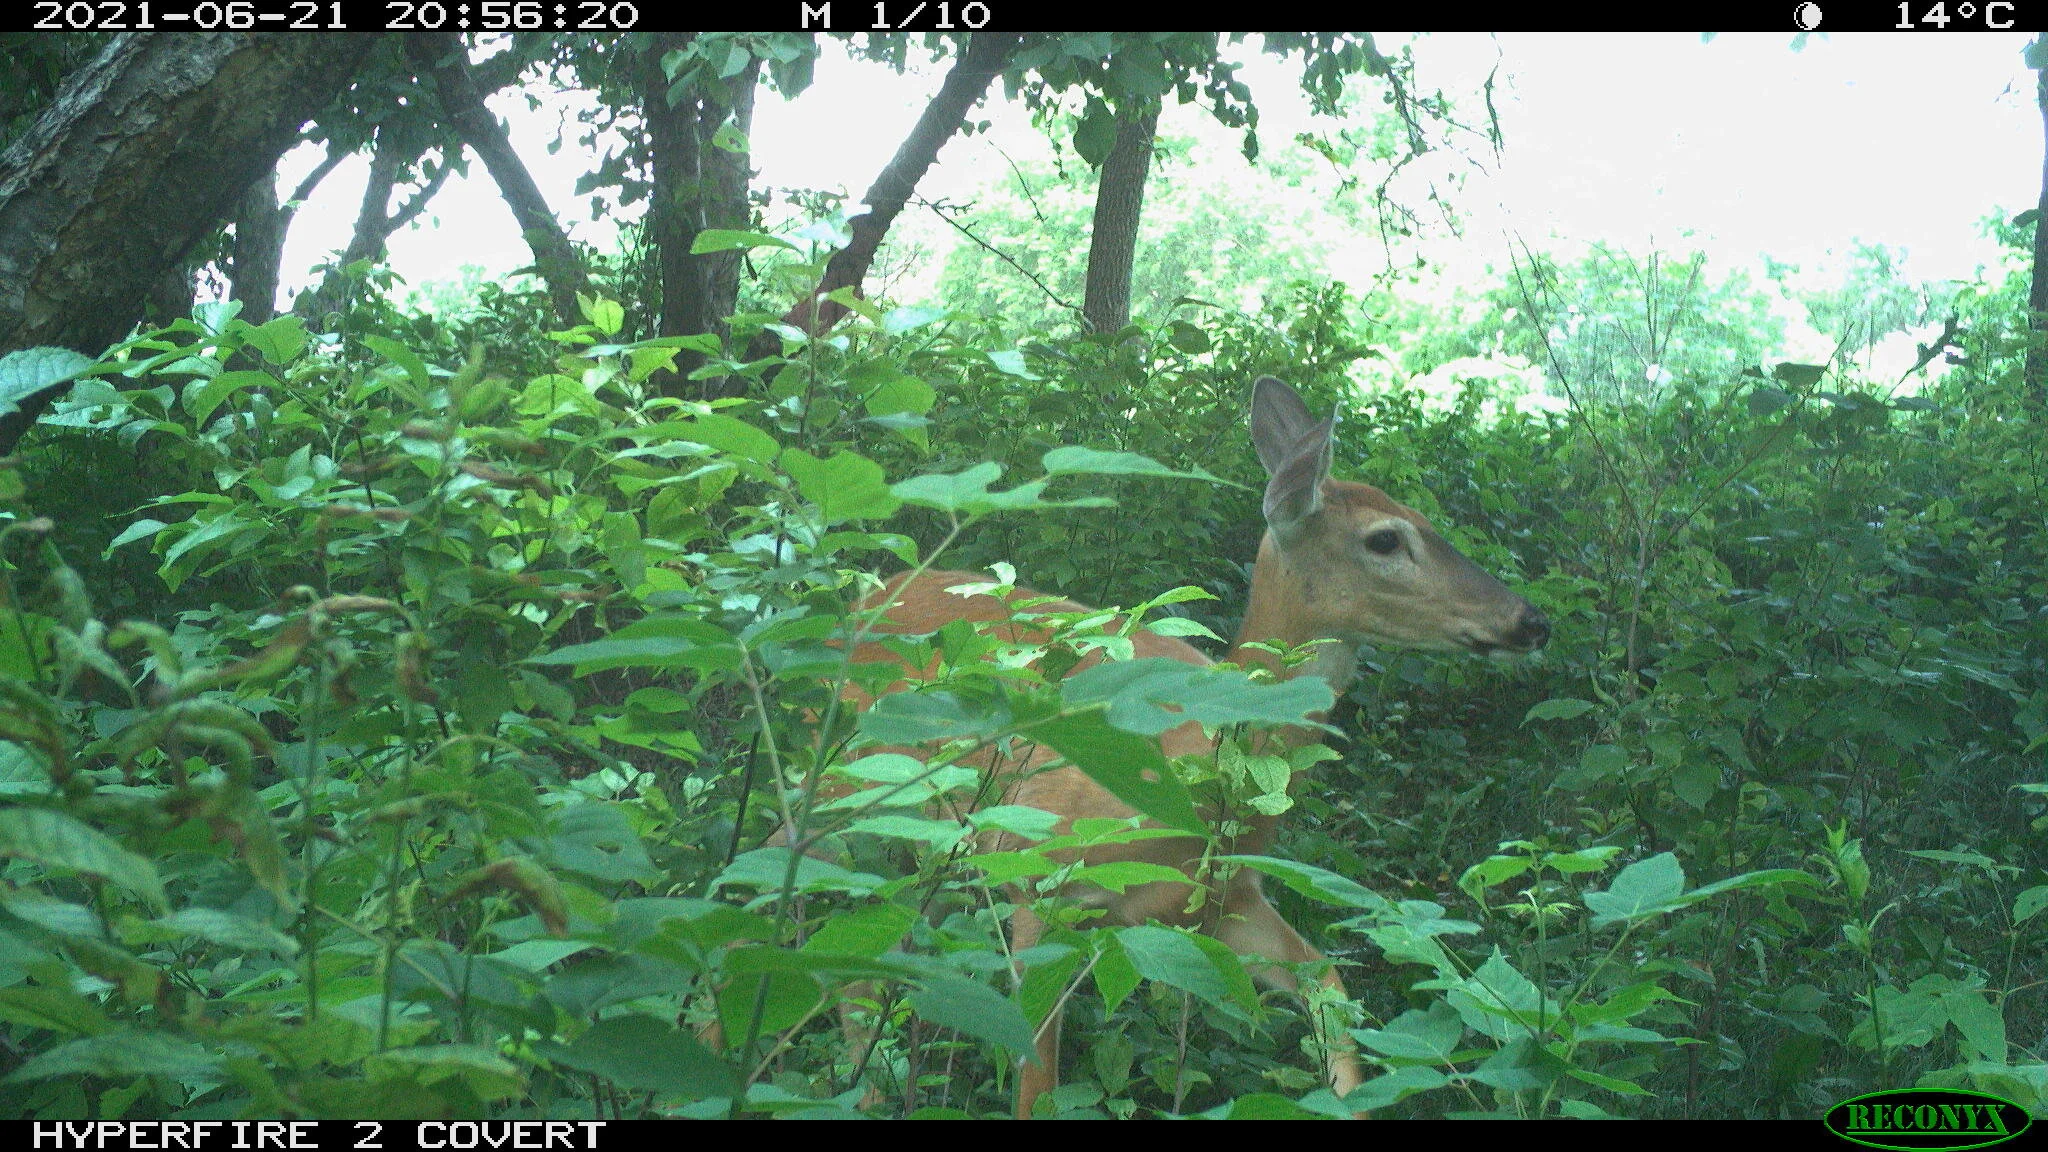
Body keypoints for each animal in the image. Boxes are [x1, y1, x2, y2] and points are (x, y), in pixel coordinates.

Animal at [832, 376, 1550, 1118]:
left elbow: (1329, 987)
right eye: (1385, 539)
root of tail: (865, 599)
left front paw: (1347, 1094)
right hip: (859, 809)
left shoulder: (1222, 903)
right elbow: (1037, 1082)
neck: (1189, 773)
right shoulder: (1042, 881)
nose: (1530, 621)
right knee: (848, 968)